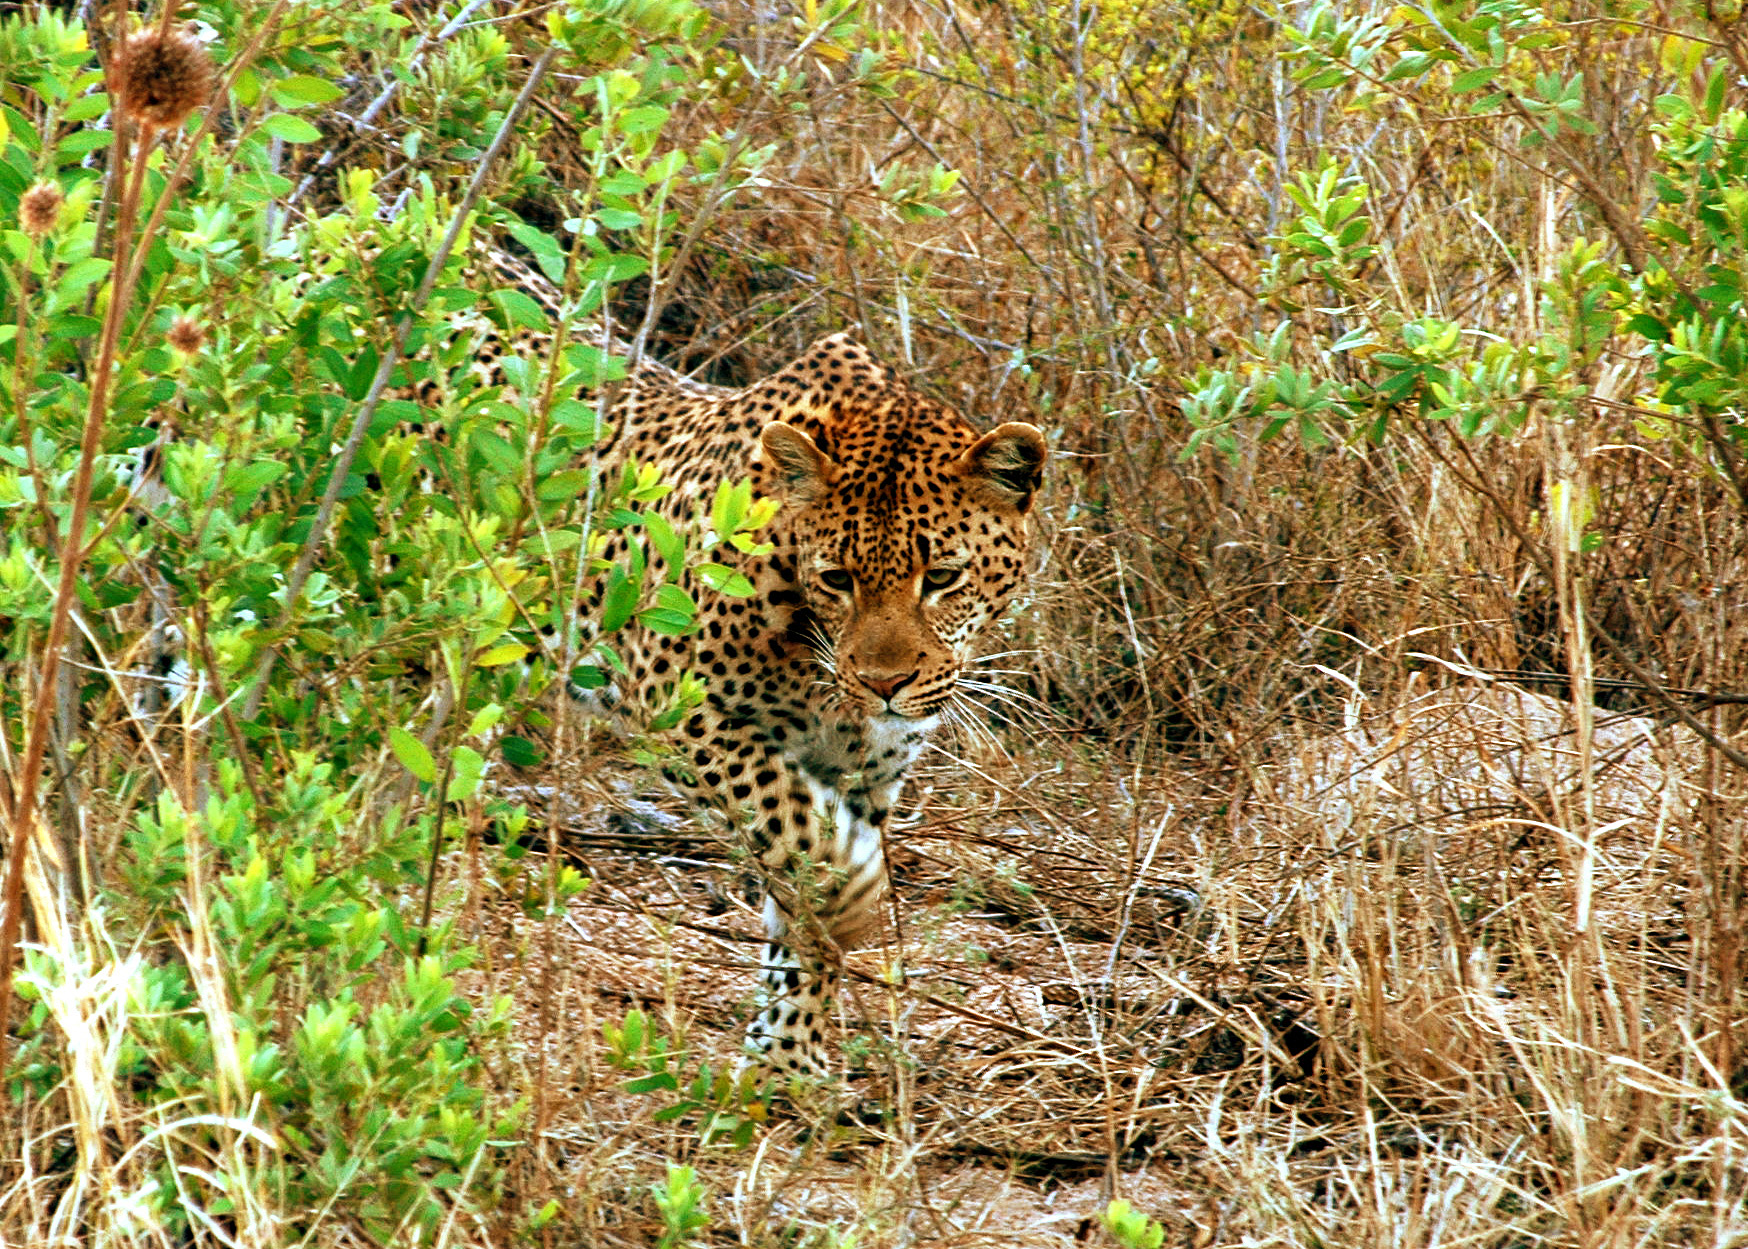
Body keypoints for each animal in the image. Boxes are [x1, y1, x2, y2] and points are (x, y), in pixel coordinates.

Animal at [585, 331, 1047, 1077]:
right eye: (837, 578)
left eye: (943, 578)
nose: (885, 682)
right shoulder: (672, 701)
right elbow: (796, 827)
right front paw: (852, 903)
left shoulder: (865, 773)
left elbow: (797, 879)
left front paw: (785, 1059)